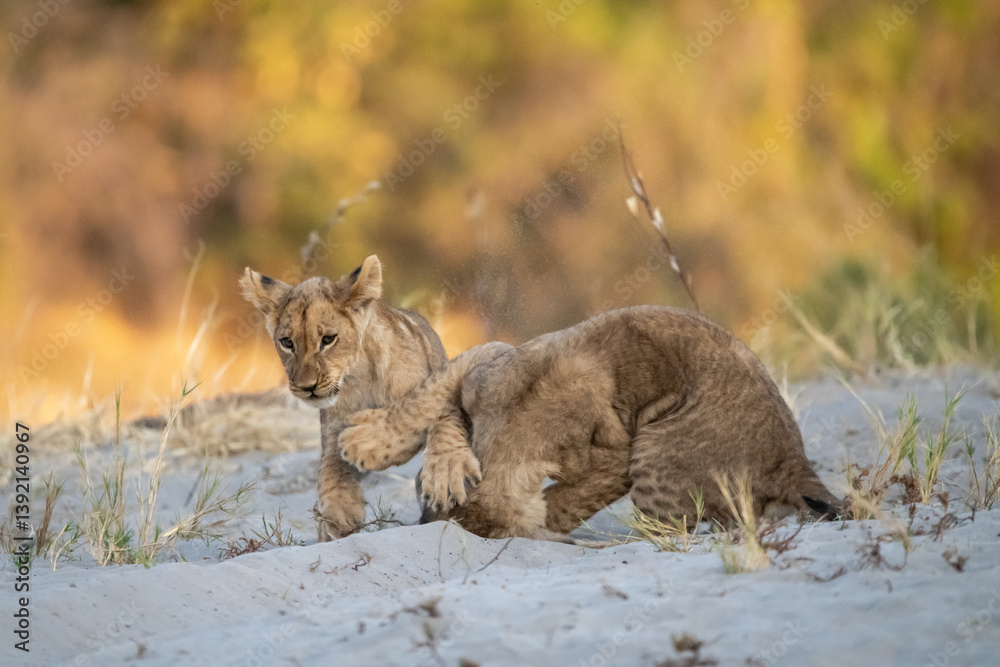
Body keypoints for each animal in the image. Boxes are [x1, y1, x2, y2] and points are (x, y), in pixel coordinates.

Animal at [239, 255, 482, 541]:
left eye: (328, 339)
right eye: (287, 343)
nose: (307, 387)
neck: (358, 377)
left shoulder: (440, 388)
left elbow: (435, 421)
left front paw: (444, 473)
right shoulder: (333, 431)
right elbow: (330, 471)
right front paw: (337, 516)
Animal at [338, 305, 840, 540]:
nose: (426, 522)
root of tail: (794, 460)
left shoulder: (621, 452)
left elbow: (567, 499)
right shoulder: (490, 359)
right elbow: (429, 396)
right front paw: (370, 443)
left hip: (657, 447)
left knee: (667, 529)